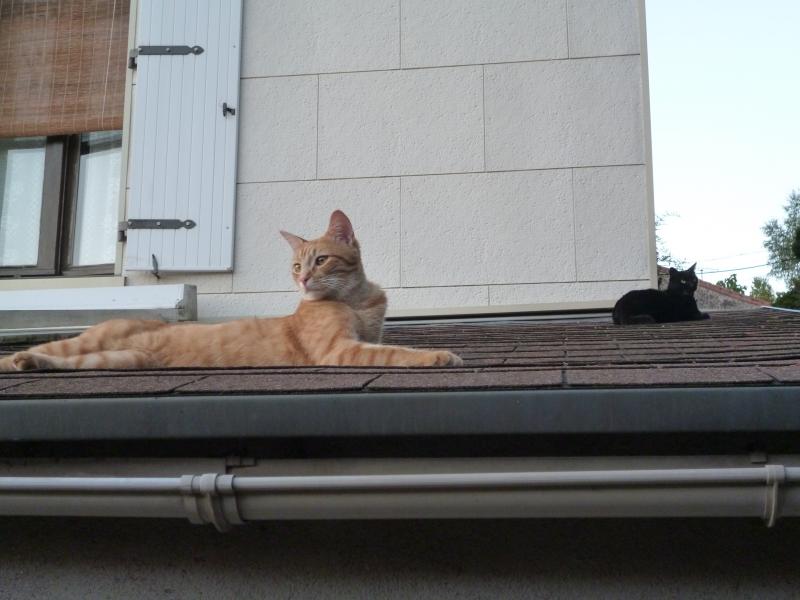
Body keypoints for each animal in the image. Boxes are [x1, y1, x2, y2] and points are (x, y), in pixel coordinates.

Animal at [0, 210, 463, 370]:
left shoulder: (366, 336)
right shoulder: (340, 350)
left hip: (119, 360)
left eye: (320, 261)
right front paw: (440, 356)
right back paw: (20, 360)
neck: (355, 298)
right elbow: (398, 353)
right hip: (90, 343)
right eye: (297, 265)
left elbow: (388, 345)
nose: (302, 280)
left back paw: (32, 363)